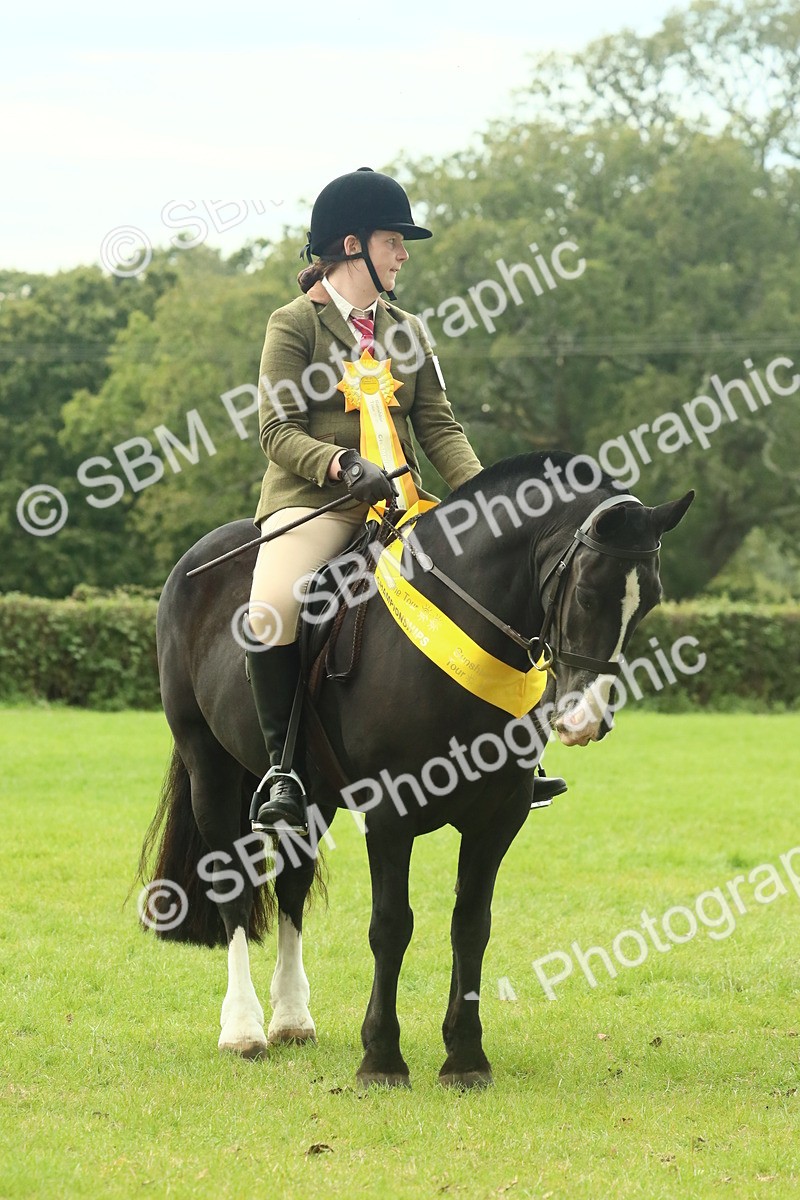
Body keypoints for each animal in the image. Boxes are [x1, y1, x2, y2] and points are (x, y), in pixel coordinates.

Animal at [137, 451, 693, 1088]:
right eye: (588, 595)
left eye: (649, 600)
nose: (585, 720)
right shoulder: (389, 812)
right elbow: (391, 925)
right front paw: (381, 1059)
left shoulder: (498, 816)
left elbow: (471, 924)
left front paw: (466, 1059)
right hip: (210, 769)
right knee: (232, 880)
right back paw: (244, 1029)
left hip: (312, 797)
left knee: (293, 886)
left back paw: (292, 1020)